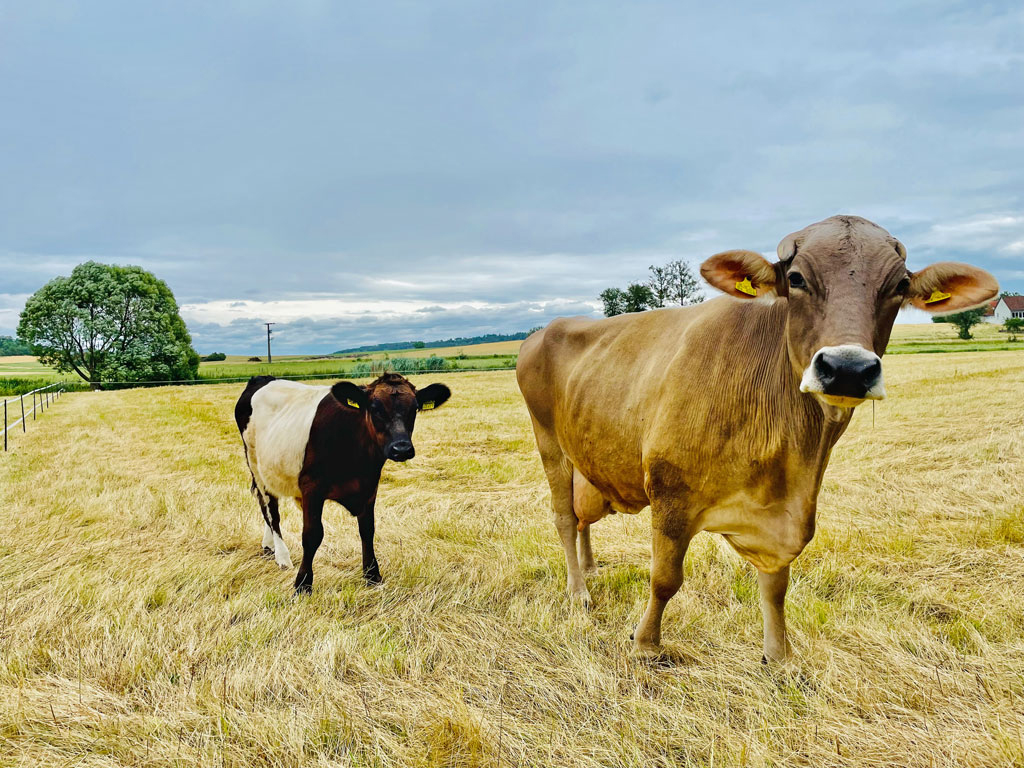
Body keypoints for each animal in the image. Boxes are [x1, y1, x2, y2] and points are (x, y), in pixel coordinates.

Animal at [238, 372, 452, 593]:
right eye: (374, 408)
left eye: (415, 408)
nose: (401, 448)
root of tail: (262, 378)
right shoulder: (311, 488)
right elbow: (312, 535)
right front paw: (303, 584)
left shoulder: (369, 487)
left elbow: (367, 530)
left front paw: (372, 575)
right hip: (255, 464)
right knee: (270, 509)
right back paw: (282, 556)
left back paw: (269, 545)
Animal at [516, 215, 995, 663]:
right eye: (796, 278)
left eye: (899, 285)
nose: (848, 369)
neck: (792, 451)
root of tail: (543, 331)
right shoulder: (670, 493)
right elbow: (666, 578)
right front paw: (647, 645)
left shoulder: (785, 515)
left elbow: (776, 586)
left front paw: (779, 656)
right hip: (549, 441)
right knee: (564, 517)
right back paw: (578, 590)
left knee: (583, 519)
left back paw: (591, 569)